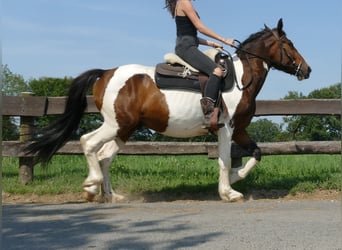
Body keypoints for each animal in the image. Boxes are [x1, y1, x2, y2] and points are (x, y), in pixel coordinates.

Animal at [26, 20, 310, 203]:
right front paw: (228, 191)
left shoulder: (239, 129)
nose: (307, 70)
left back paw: (111, 195)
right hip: (114, 125)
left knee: (105, 156)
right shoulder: (226, 129)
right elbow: (226, 159)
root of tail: (105, 73)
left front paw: (233, 180)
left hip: (125, 129)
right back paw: (90, 187)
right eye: (289, 43)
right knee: (88, 143)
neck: (242, 78)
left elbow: (256, 153)